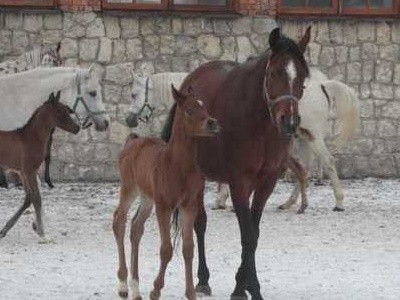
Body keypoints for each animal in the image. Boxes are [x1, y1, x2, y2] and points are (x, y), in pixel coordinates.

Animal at [0, 91, 80, 239]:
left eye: (67, 110)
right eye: (59, 111)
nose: (77, 128)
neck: (30, 138)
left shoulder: (24, 172)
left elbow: (29, 198)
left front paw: (5, 229)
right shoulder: (29, 171)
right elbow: (36, 198)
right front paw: (42, 232)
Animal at [112, 85, 219, 300]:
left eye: (204, 106)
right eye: (189, 110)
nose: (212, 123)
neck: (179, 166)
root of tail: (132, 141)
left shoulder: (189, 206)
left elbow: (188, 248)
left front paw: (191, 293)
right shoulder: (164, 206)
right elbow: (166, 249)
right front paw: (155, 290)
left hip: (146, 198)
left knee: (136, 228)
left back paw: (136, 288)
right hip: (129, 189)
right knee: (119, 221)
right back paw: (123, 285)